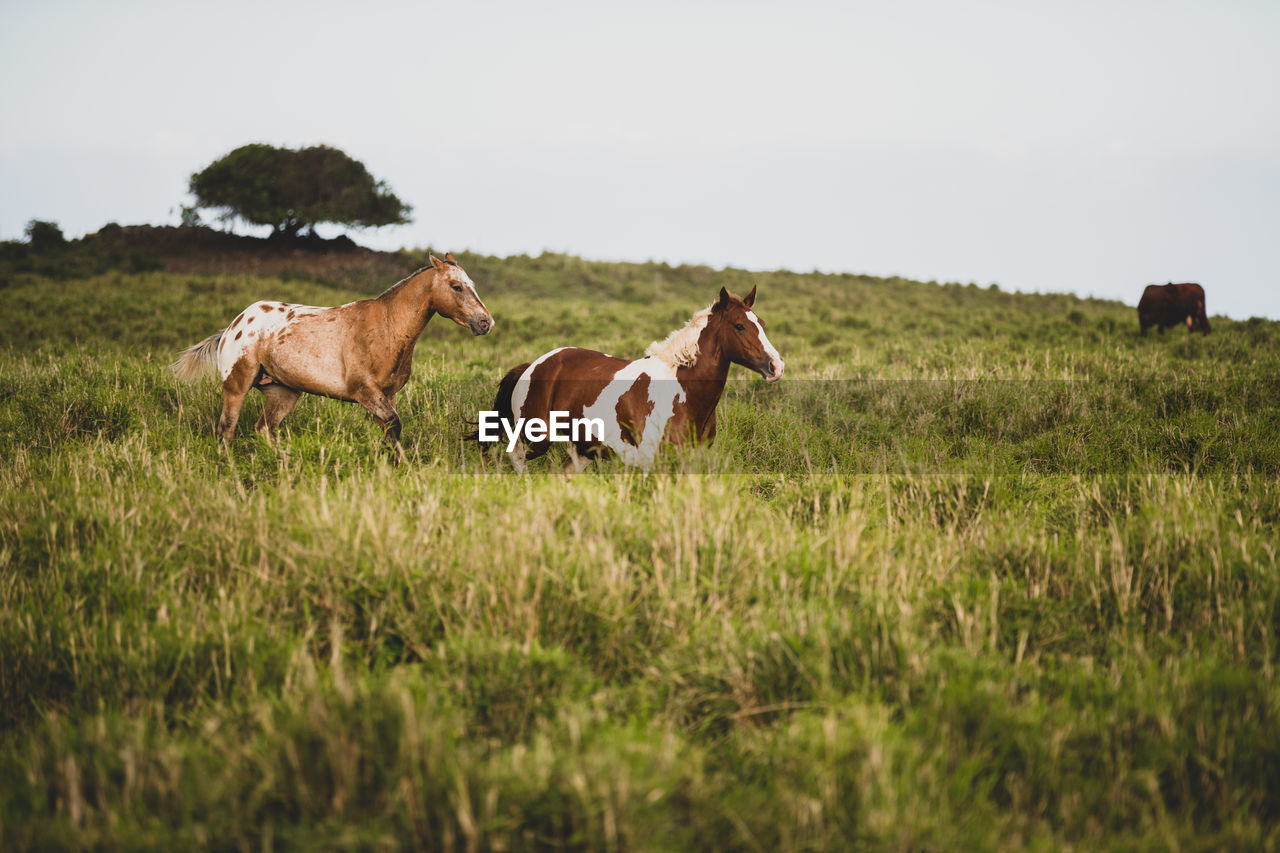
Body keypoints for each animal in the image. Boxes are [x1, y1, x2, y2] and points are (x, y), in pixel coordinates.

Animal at [170, 252, 488, 458]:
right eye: (456, 286)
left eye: (472, 284)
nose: (485, 322)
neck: (387, 328)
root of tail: (232, 327)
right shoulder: (364, 391)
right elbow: (394, 424)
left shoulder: (387, 395)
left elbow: (391, 430)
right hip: (237, 386)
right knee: (227, 428)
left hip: (283, 393)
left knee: (263, 429)